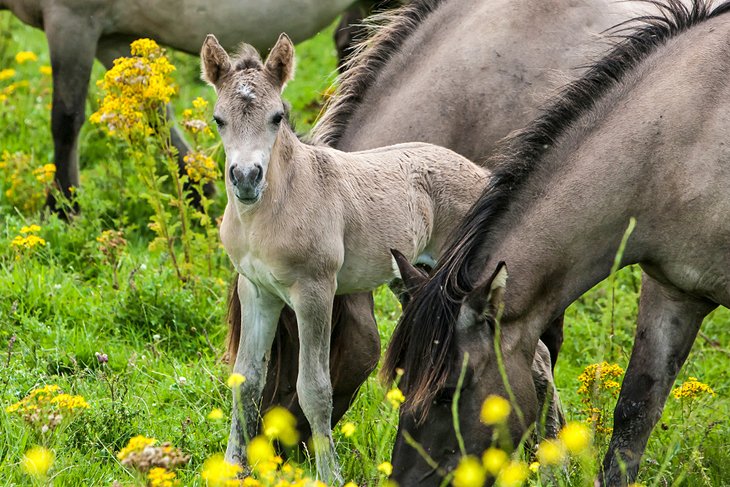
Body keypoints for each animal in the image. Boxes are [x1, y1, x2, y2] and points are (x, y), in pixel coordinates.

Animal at [0, 0, 362, 208]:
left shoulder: (72, 21)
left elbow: (65, 120)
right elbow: (157, 116)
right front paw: (198, 189)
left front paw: (63, 206)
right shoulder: (112, 38)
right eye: (218, 120)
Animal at [199, 34, 494, 484]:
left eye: (276, 117)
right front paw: (233, 467)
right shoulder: (257, 291)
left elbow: (314, 388)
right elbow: (246, 380)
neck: (273, 208)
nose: (246, 178)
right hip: (417, 277)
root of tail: (481, 173)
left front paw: (330, 474)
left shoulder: (315, 291)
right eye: (219, 119)